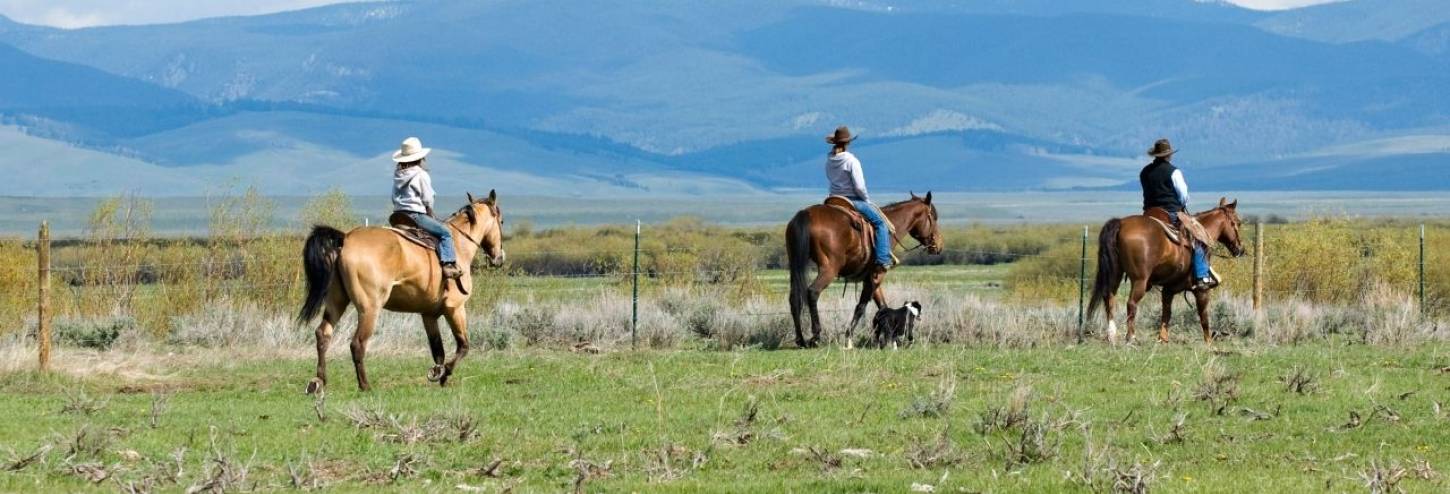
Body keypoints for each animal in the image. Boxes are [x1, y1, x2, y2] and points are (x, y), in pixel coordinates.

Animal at [294, 189, 504, 391]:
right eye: (501, 221)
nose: (499, 258)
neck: (459, 245)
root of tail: (345, 239)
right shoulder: (455, 308)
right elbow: (463, 346)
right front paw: (445, 374)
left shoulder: (428, 315)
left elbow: (438, 351)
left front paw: (438, 373)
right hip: (369, 309)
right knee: (357, 344)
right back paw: (365, 385)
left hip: (336, 302)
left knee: (323, 335)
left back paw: (319, 382)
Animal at [788, 189, 945, 347]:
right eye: (934, 217)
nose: (939, 245)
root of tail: (806, 213)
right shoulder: (877, 274)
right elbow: (861, 306)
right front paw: (849, 337)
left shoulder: (871, 277)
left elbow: (882, 306)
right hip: (829, 269)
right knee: (813, 292)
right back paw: (815, 336)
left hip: (794, 266)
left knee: (794, 298)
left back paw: (800, 339)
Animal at [1090, 195, 1247, 341]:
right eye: (1238, 222)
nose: (1240, 249)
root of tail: (1121, 223)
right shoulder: (1202, 290)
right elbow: (1204, 317)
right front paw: (1208, 343)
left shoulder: (1168, 290)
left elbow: (1166, 314)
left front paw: (1163, 339)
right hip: (1140, 280)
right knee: (1131, 303)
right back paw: (1131, 337)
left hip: (1115, 274)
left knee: (1109, 298)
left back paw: (1111, 335)